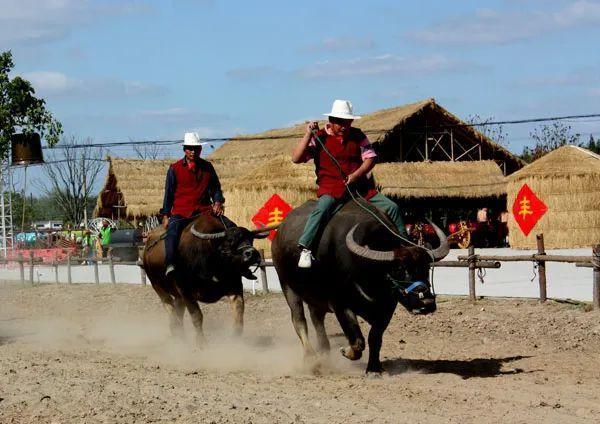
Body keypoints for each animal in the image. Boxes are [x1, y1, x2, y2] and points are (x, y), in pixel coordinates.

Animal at [142, 215, 274, 344]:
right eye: (230, 241)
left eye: (251, 239)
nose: (252, 253)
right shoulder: (186, 291)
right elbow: (197, 316)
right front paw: (201, 343)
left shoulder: (235, 287)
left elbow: (239, 311)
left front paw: (235, 339)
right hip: (157, 285)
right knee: (169, 306)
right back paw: (177, 332)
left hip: (177, 294)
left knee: (178, 310)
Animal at [272, 200, 450, 374]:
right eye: (399, 269)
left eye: (426, 268)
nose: (426, 303)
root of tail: (279, 233)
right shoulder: (340, 305)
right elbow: (357, 340)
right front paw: (346, 351)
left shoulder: (387, 307)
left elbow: (374, 338)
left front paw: (374, 368)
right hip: (287, 286)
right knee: (299, 321)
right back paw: (311, 360)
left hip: (315, 296)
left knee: (317, 319)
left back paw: (324, 357)